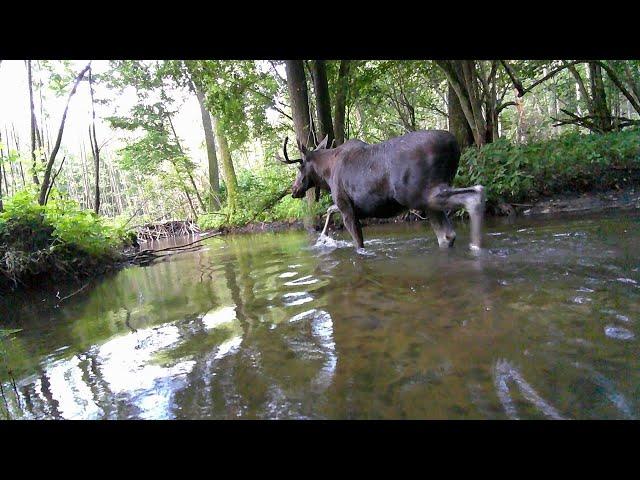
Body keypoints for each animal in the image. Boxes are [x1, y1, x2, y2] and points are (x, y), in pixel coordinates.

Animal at [278, 131, 488, 251]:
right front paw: (323, 237)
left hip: (419, 194)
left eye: (299, 167)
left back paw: (476, 246)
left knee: (474, 195)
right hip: (429, 199)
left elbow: (358, 244)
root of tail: (455, 146)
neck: (326, 175)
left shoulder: (346, 207)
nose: (294, 190)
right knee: (447, 235)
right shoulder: (351, 206)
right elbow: (330, 209)